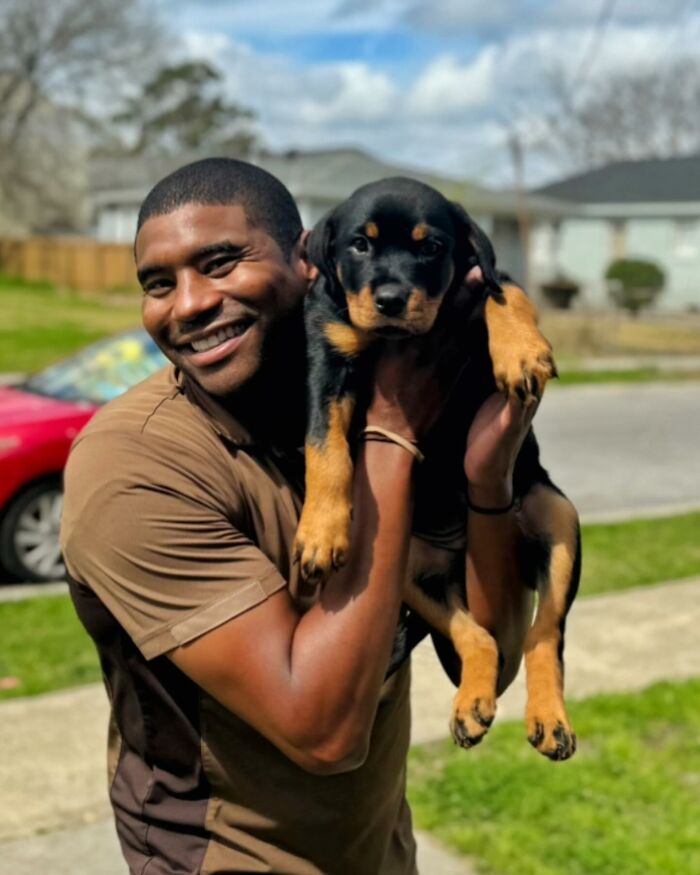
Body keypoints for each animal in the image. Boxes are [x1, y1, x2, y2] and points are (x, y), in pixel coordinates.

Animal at [294, 178, 580, 760]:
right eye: (360, 244)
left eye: (430, 248)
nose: (390, 300)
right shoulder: (328, 353)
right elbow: (324, 446)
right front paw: (321, 531)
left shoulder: (480, 279)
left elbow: (504, 292)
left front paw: (522, 352)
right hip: (409, 569)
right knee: (481, 637)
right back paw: (471, 706)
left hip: (557, 516)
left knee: (545, 635)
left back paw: (548, 718)